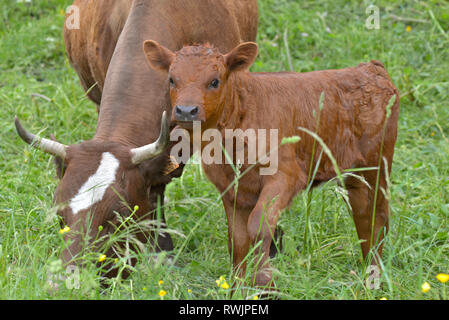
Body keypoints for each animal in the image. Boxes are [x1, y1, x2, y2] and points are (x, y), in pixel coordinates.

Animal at [143, 40, 400, 288]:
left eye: (214, 81)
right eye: (172, 79)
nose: (186, 111)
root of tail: (370, 68)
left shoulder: (286, 176)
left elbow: (258, 227)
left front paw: (265, 283)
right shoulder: (231, 187)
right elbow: (237, 240)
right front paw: (238, 288)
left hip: (376, 168)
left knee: (377, 218)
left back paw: (372, 281)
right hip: (354, 175)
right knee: (363, 217)